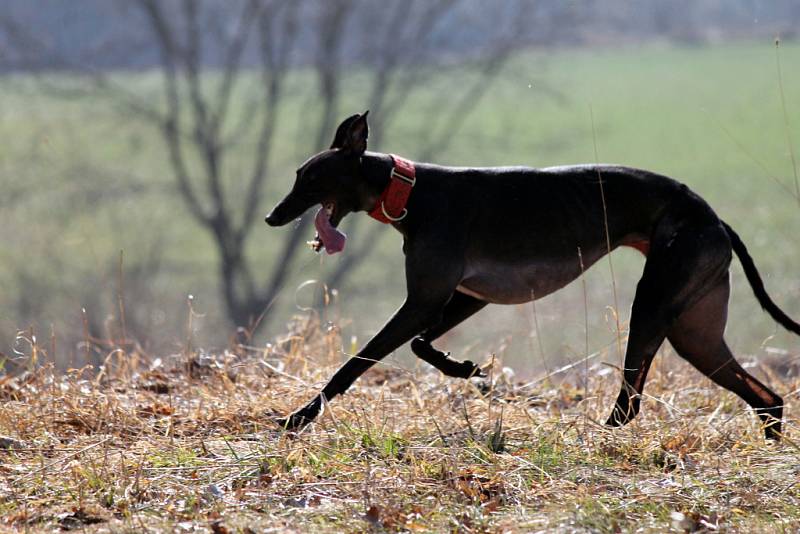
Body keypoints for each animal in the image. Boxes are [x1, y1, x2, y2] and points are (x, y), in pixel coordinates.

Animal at [268, 112, 800, 440]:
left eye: (309, 178)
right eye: (295, 175)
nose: (273, 217)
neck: (412, 192)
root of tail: (713, 217)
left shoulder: (424, 299)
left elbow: (356, 362)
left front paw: (299, 417)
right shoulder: (466, 295)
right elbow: (421, 344)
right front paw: (468, 371)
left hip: (653, 306)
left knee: (630, 405)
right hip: (695, 332)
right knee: (767, 399)